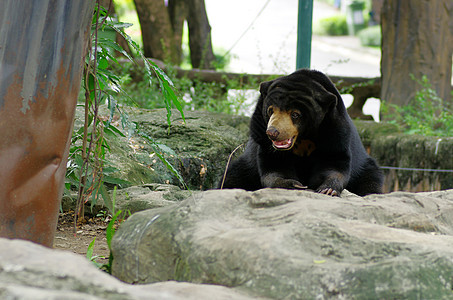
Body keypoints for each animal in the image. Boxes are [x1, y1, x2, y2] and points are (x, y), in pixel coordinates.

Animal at [219, 68, 382, 197]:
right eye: (270, 110)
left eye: (295, 114)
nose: (272, 132)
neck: (303, 139)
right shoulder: (261, 138)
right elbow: (273, 167)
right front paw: (293, 184)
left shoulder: (335, 130)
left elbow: (335, 163)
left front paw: (327, 189)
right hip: (245, 167)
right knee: (232, 177)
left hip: (364, 167)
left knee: (371, 181)